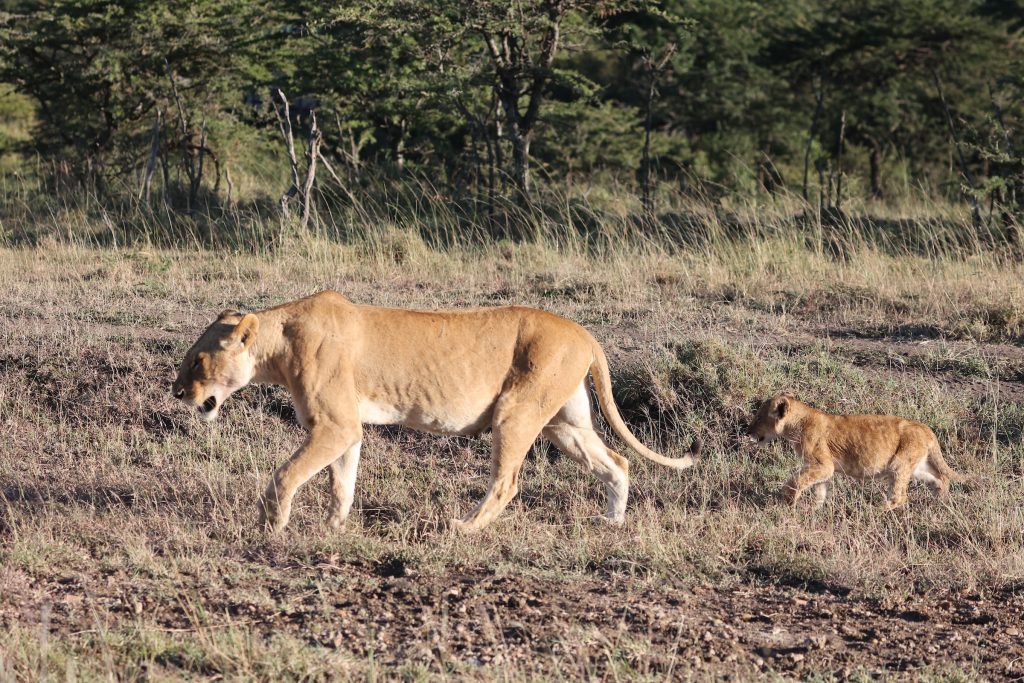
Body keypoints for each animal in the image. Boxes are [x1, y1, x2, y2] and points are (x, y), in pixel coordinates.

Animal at [172, 291, 698, 534]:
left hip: (516, 412)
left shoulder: (334, 425)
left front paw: (271, 526)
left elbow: (285, 475)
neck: (277, 345)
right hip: (564, 422)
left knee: (507, 482)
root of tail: (586, 333)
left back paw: (463, 528)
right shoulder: (347, 430)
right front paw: (333, 528)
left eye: (197, 360)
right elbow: (342, 482)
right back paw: (612, 521)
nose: (177, 394)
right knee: (618, 462)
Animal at [747, 392, 957, 510]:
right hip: (916, 467)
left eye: (758, 418)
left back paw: (873, 510)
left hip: (899, 464)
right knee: (939, 479)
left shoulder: (822, 464)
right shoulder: (820, 468)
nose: (747, 432)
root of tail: (927, 429)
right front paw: (812, 511)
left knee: (900, 497)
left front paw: (789, 501)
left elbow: (796, 481)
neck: (797, 424)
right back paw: (942, 501)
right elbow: (819, 489)